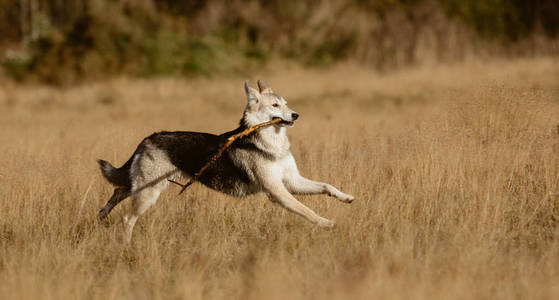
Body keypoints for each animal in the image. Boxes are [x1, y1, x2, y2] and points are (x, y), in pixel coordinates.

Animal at [98, 79, 356, 241]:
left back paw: (101, 215)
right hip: (148, 192)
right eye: (275, 105)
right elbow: (307, 211)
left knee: (118, 191)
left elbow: (327, 186)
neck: (272, 142)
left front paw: (346, 198)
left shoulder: (292, 181)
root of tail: (147, 138)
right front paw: (327, 224)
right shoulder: (277, 191)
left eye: (286, 103)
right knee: (127, 217)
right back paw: (125, 246)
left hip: (142, 186)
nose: (296, 115)